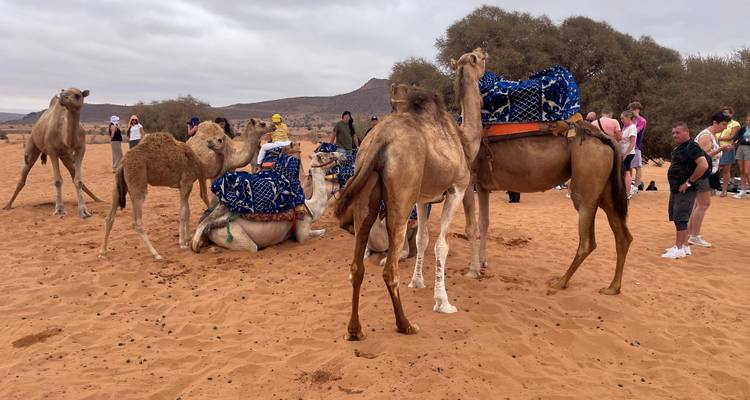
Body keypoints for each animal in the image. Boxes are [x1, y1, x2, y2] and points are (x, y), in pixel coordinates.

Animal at [4, 88, 102, 217]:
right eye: (64, 92)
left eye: (77, 95)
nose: (63, 96)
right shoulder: (52, 150)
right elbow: (58, 180)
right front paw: (59, 209)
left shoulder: (81, 148)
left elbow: (78, 180)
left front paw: (84, 211)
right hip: (33, 146)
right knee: (23, 175)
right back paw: (7, 205)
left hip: (65, 156)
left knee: (73, 174)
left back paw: (98, 199)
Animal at [99, 128, 234, 260]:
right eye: (219, 139)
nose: (210, 143)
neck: (199, 163)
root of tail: (123, 163)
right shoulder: (186, 182)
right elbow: (183, 212)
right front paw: (182, 243)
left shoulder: (184, 186)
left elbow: (187, 211)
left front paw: (187, 239)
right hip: (137, 182)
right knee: (137, 222)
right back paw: (156, 254)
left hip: (118, 185)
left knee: (109, 217)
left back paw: (103, 252)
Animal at [190, 150, 344, 252]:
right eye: (324, 155)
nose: (340, 154)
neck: (311, 206)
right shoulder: (302, 228)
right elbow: (319, 232)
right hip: (231, 234)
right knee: (251, 247)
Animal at [333, 48, 486, 340]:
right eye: (478, 59)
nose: (484, 53)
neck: (464, 140)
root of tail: (379, 140)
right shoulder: (457, 189)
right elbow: (440, 245)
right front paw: (443, 302)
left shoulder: (423, 199)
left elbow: (423, 239)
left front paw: (418, 282)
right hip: (401, 198)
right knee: (390, 268)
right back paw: (405, 324)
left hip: (366, 196)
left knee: (357, 265)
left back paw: (354, 330)